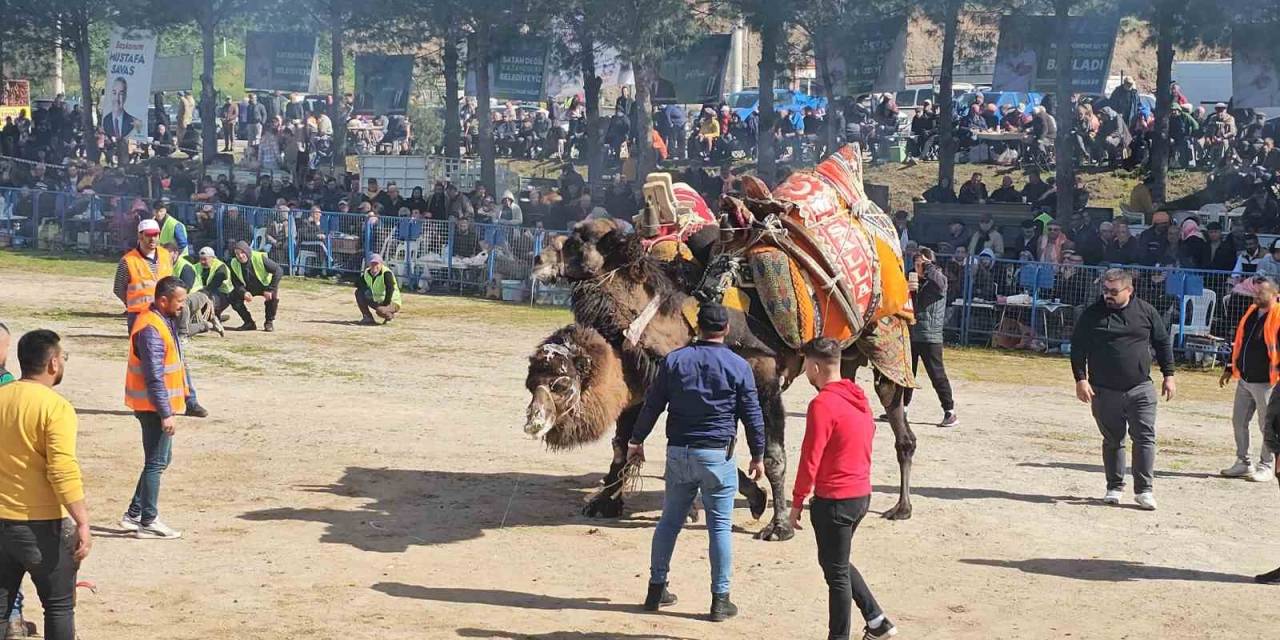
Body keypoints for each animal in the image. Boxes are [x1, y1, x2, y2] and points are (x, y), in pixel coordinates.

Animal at [524, 146, 916, 540]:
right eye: (532, 382)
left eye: (579, 240)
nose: (537, 258)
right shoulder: (660, 378)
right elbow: (633, 440)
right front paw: (606, 501)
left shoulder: (764, 379)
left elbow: (772, 456)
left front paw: (777, 524)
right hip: (844, 355)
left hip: (888, 337)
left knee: (901, 427)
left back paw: (901, 507)